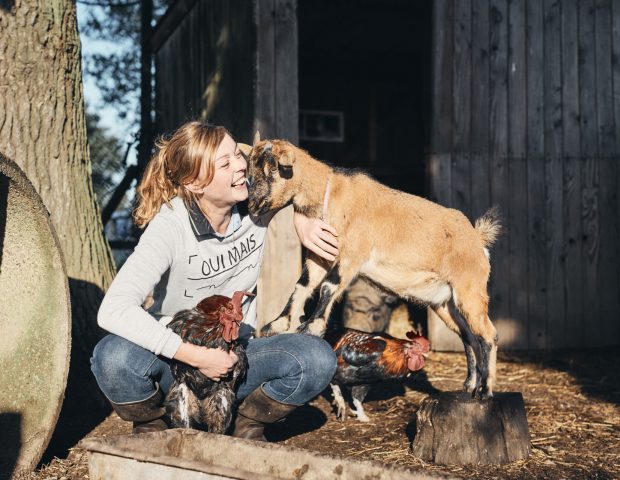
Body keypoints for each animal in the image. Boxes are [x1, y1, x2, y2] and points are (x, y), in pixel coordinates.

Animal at [245, 138, 502, 398]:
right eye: (249, 173)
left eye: (272, 169)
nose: (252, 207)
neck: (333, 193)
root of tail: (478, 239)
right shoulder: (320, 255)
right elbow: (302, 286)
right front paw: (278, 324)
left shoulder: (351, 255)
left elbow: (329, 286)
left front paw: (311, 327)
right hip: (444, 302)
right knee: (469, 336)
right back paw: (470, 385)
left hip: (470, 290)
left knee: (488, 335)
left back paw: (485, 390)